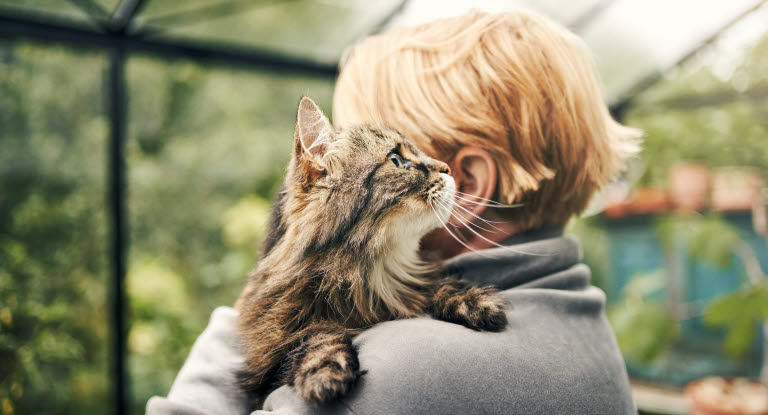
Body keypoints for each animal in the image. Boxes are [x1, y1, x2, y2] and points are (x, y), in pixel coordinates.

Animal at [237, 96, 508, 406]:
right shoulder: (268, 356)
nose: (447, 168)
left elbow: (437, 285)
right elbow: (312, 337)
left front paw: (475, 301)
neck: (373, 277)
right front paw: (326, 371)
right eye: (396, 160)